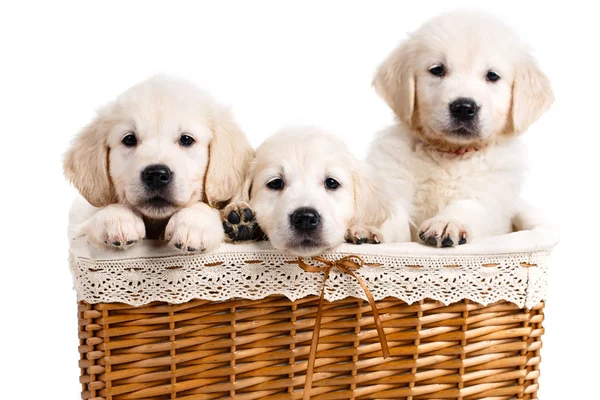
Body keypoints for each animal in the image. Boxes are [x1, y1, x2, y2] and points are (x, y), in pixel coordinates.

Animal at [64, 75, 252, 253]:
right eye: (129, 139)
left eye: (186, 139)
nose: (156, 175)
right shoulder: (79, 227)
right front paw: (117, 217)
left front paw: (193, 223)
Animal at [370, 12, 552, 247]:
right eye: (437, 70)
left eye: (492, 76)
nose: (464, 108)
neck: (448, 154)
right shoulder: (393, 182)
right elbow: (390, 214)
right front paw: (367, 227)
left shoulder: (490, 198)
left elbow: (467, 206)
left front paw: (447, 222)